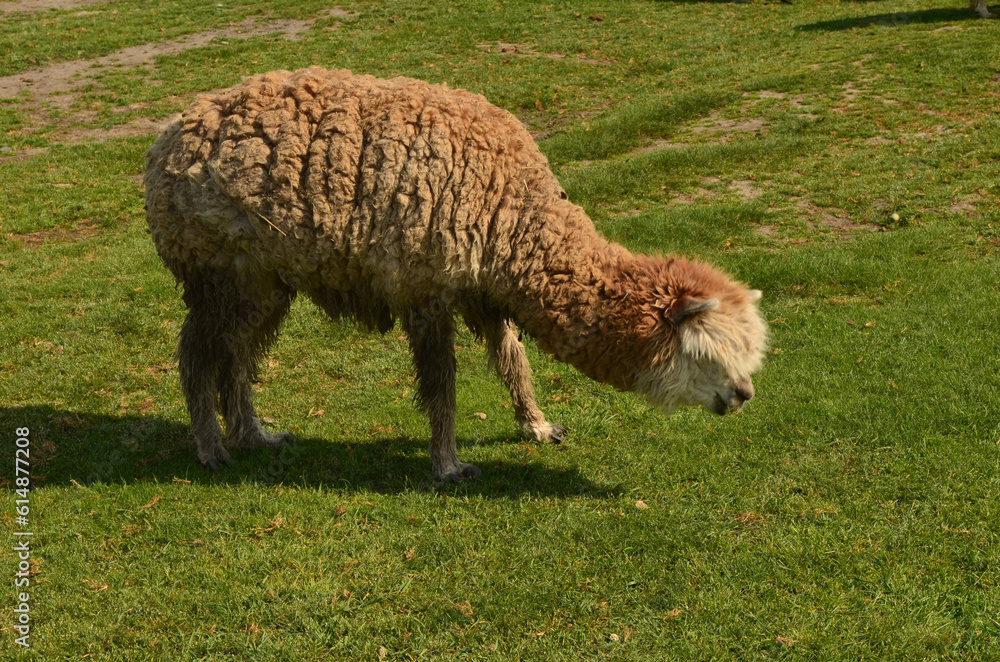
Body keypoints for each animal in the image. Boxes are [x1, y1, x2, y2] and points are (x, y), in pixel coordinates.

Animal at [144, 67, 768, 482]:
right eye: (707, 355)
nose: (743, 395)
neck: (509, 210)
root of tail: (167, 139)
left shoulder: (484, 291)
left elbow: (513, 362)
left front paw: (538, 427)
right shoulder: (428, 288)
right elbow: (442, 384)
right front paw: (448, 465)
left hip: (266, 280)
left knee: (236, 352)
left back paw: (253, 435)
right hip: (220, 270)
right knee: (199, 353)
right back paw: (213, 449)